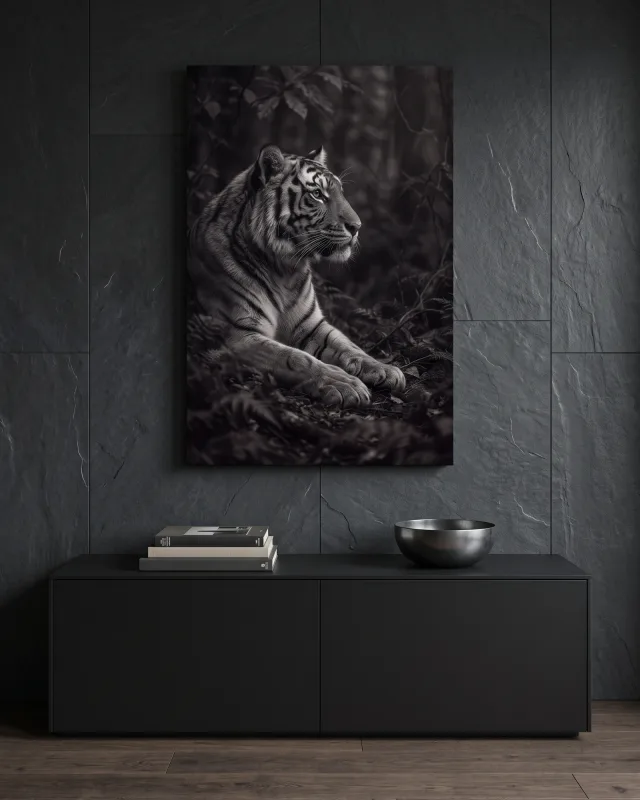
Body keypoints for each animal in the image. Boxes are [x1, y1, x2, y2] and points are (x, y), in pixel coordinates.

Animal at [188, 144, 406, 408]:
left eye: (340, 193)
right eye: (317, 194)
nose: (357, 227)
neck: (284, 270)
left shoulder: (311, 324)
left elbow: (348, 345)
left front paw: (384, 368)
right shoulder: (237, 334)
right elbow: (295, 358)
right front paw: (343, 383)